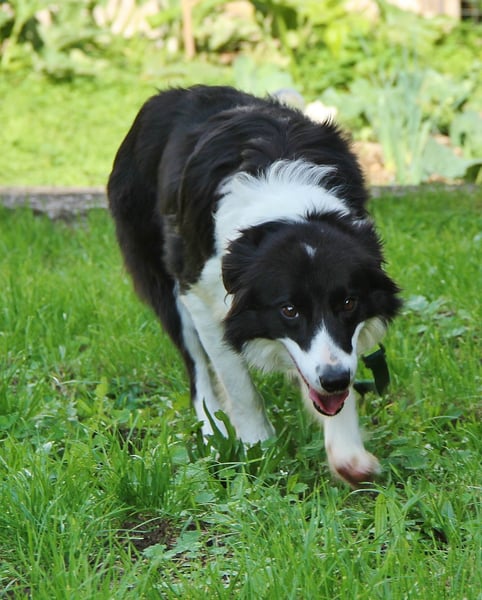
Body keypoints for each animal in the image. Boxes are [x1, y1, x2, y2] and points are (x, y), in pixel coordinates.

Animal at [107, 85, 401, 486]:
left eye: (348, 303)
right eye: (289, 310)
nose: (336, 380)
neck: (289, 205)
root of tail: (166, 94)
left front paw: (348, 455)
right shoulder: (200, 292)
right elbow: (237, 383)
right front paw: (259, 450)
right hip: (160, 273)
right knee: (196, 367)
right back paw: (212, 432)